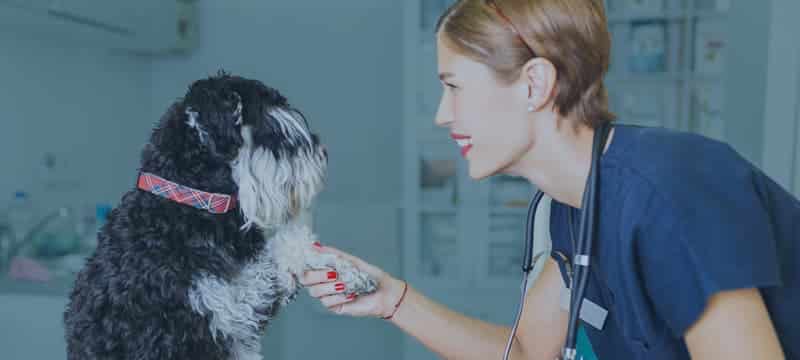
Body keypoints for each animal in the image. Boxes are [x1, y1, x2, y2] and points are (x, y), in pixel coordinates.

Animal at [62, 71, 378, 358]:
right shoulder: (194, 329)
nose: (323, 154)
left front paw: (347, 272)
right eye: (270, 129)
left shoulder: (250, 299)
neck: (192, 207)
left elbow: (288, 248)